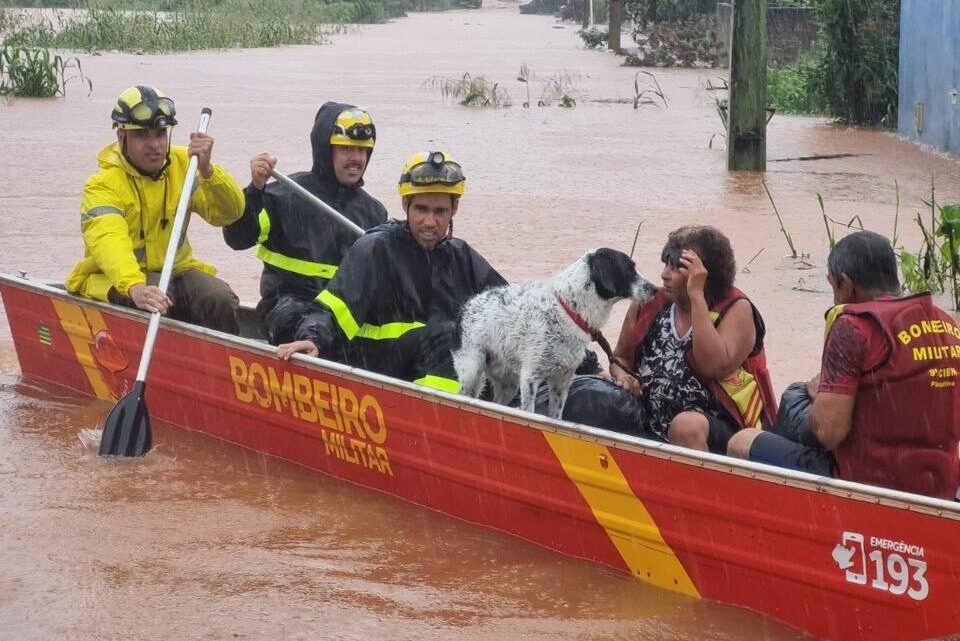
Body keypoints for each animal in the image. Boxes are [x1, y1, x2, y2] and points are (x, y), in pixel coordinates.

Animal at [454, 248, 656, 418]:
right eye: (629, 269)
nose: (655, 289)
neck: (570, 310)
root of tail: (466, 305)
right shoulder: (530, 377)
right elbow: (530, 412)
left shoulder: (562, 381)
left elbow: (555, 417)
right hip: (472, 370)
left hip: (508, 383)